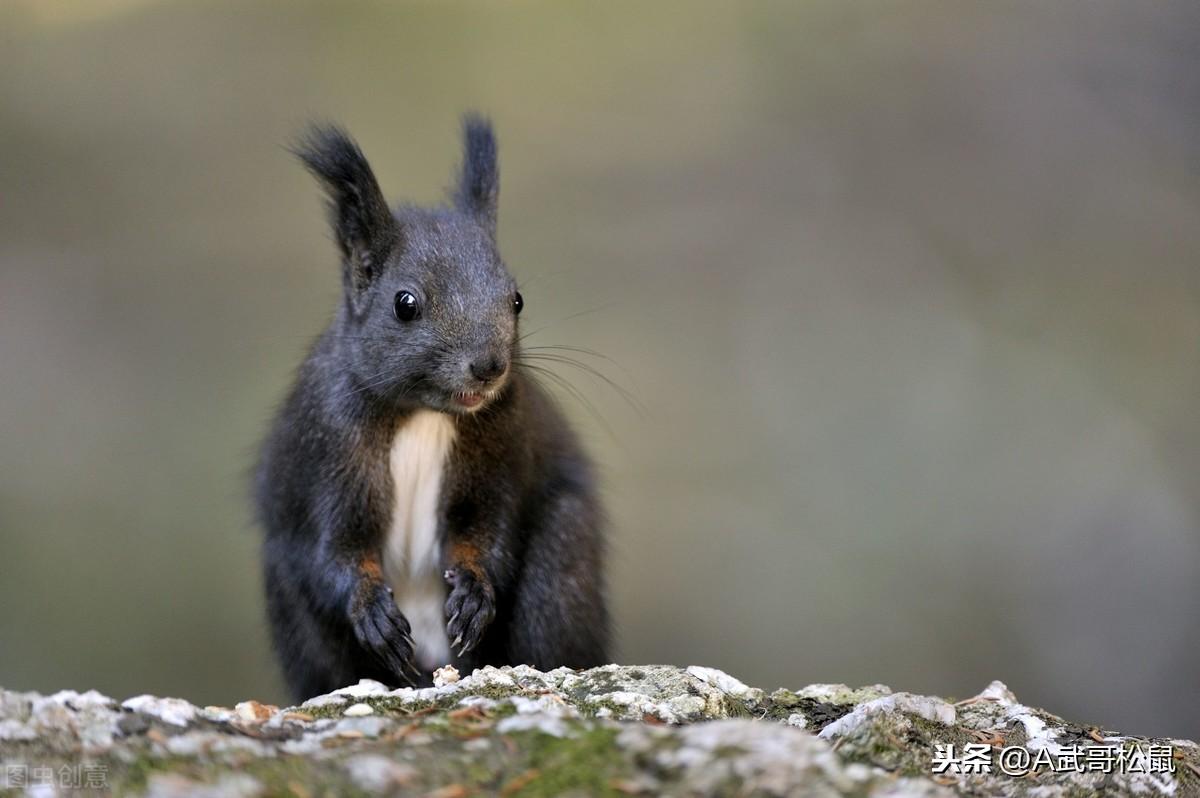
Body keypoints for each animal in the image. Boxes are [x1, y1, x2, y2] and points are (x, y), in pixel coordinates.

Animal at [254, 112, 609, 696]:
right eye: (405, 304)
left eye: (516, 299)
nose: (489, 366)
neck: (425, 414)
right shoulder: (329, 452)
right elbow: (337, 551)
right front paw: (371, 608)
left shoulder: (499, 450)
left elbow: (489, 532)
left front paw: (474, 590)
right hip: (288, 590)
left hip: (564, 556)